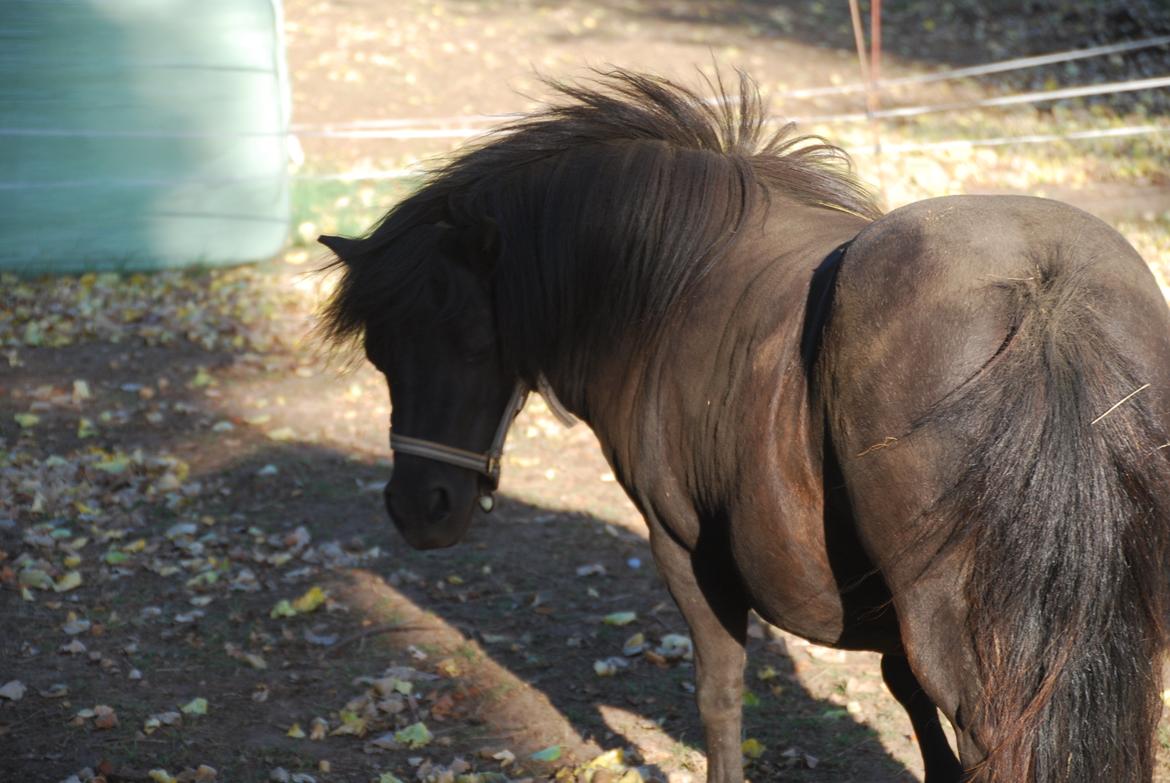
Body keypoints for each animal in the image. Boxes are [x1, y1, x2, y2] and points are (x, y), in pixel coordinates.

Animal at [315, 70, 1170, 777]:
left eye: (463, 334)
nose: (416, 508)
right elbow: (908, 704)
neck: (667, 282)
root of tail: (1044, 289)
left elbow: (720, 694)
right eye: (379, 350)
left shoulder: (685, 548)